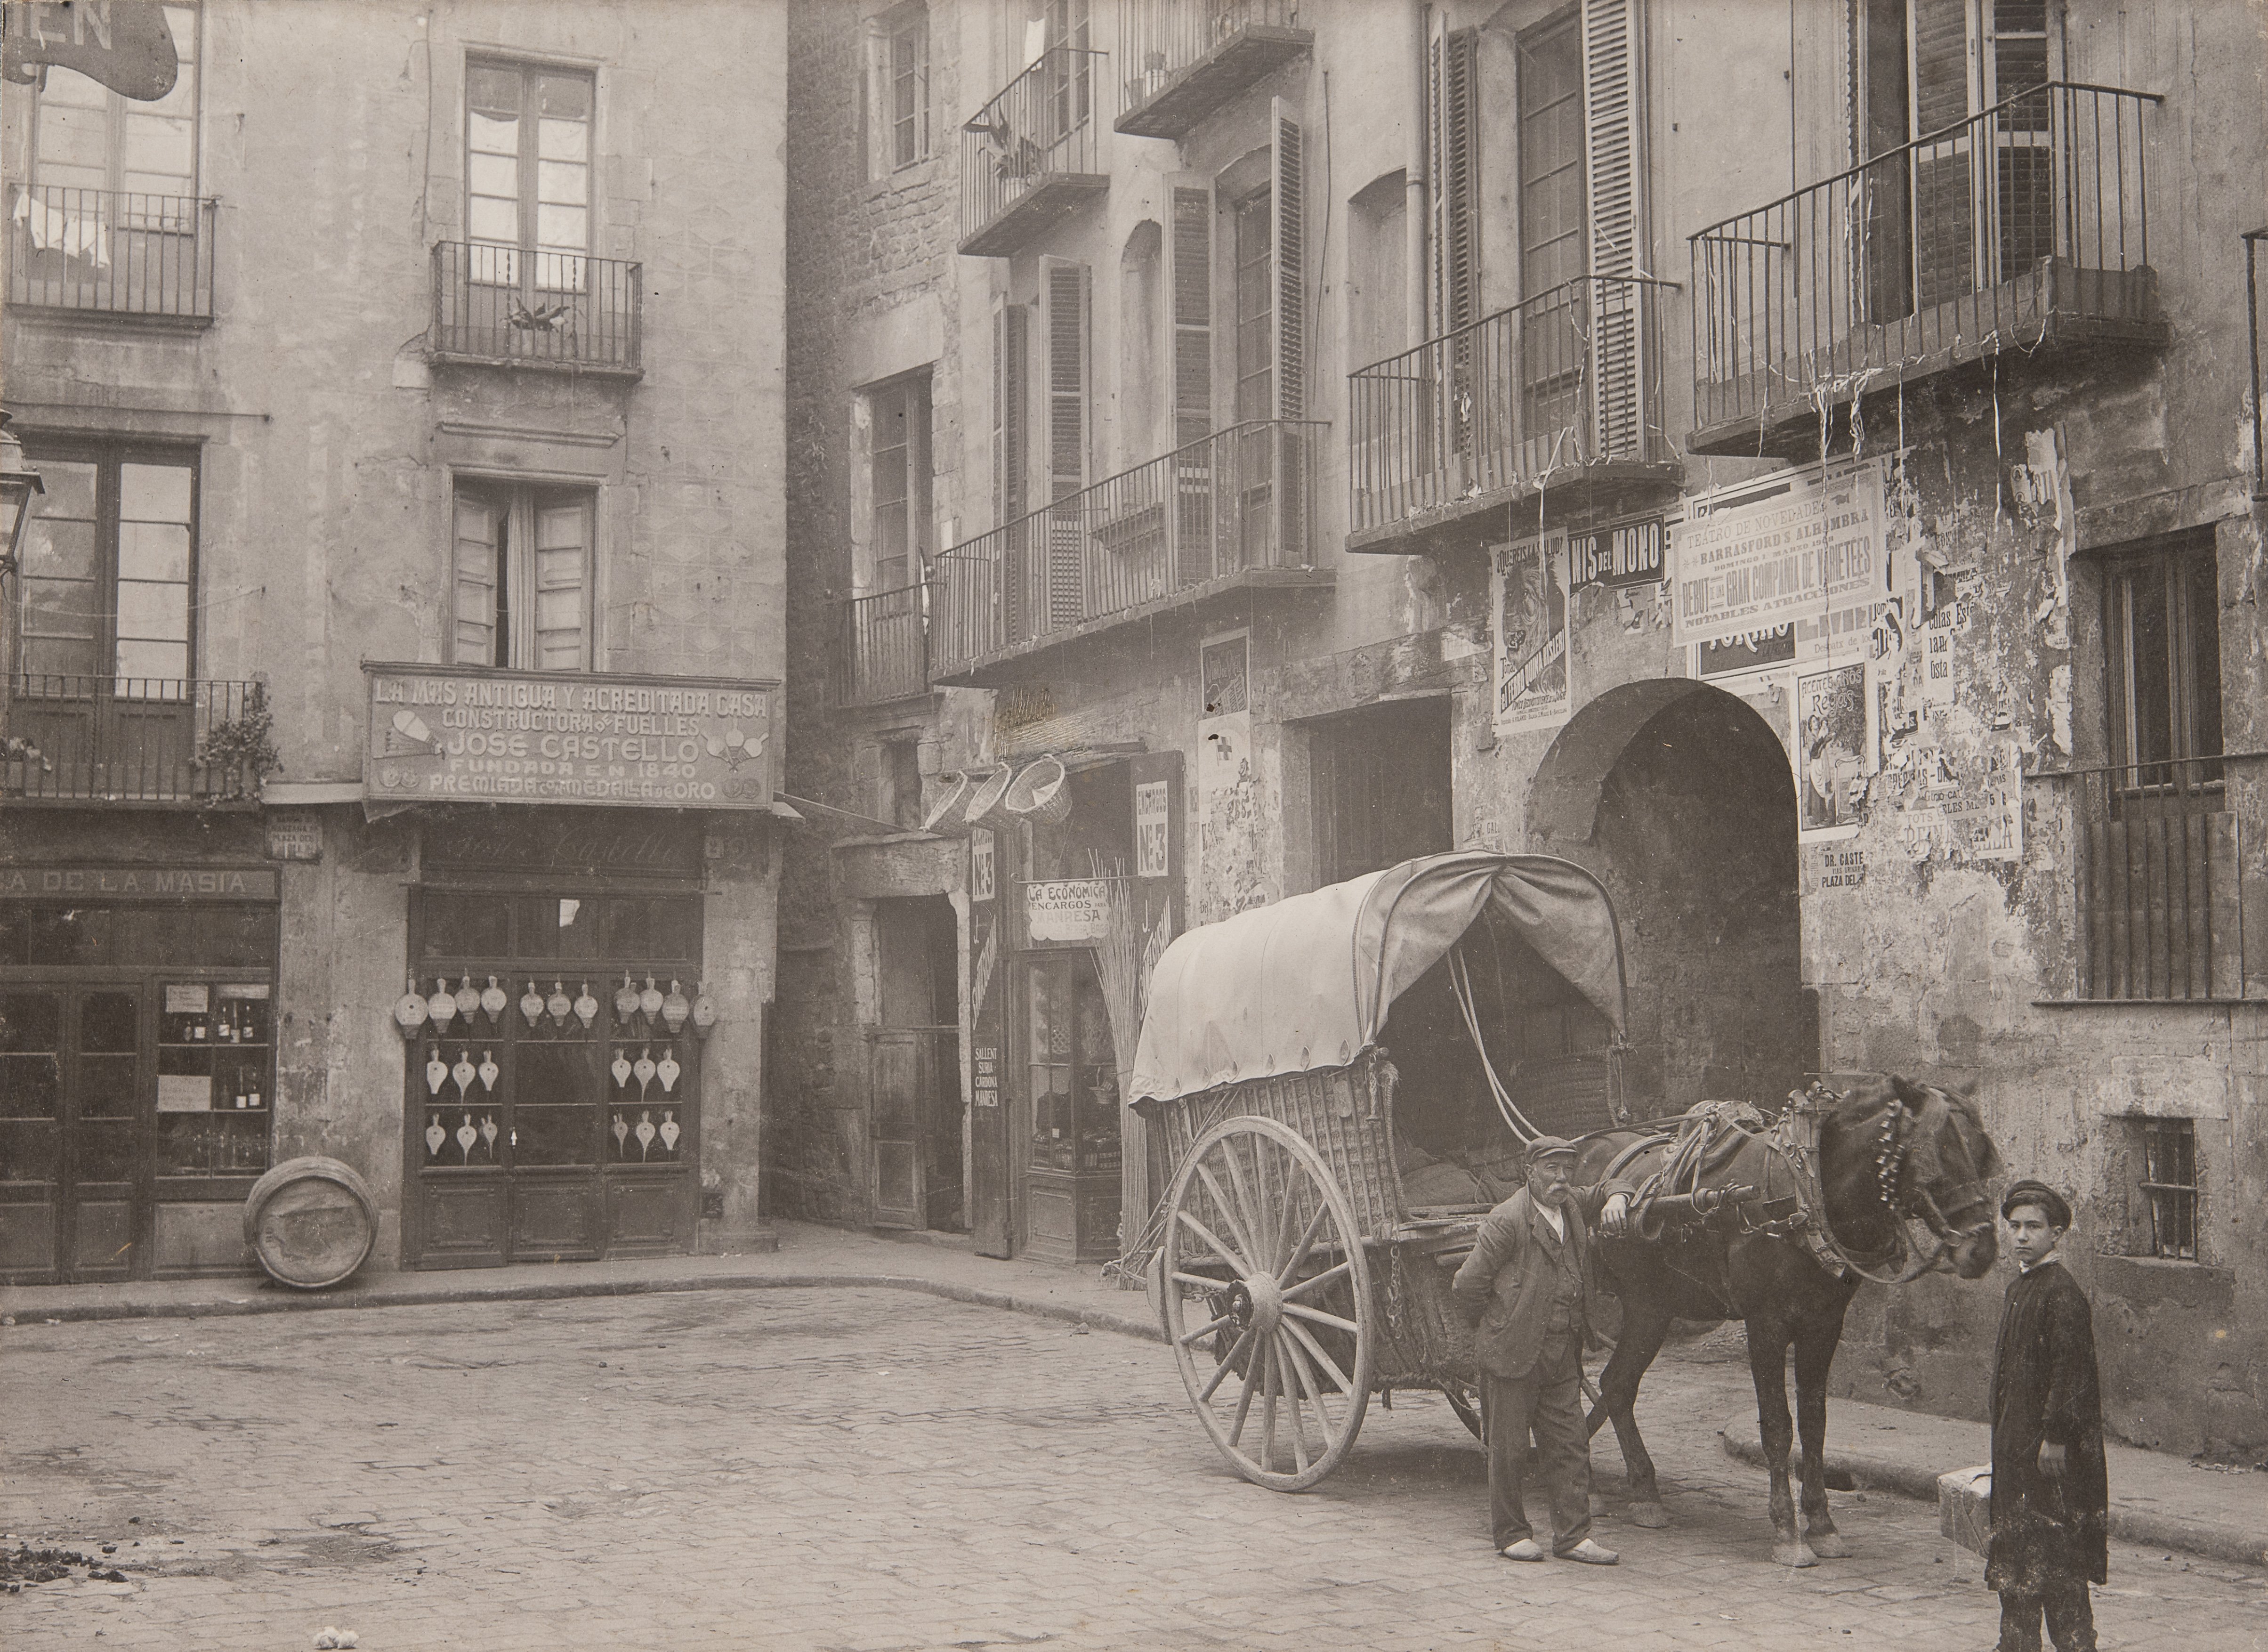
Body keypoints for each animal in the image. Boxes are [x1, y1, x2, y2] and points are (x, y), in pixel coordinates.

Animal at [1578, 1076, 2005, 1570]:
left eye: (1981, 1151)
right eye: (1938, 1151)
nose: (1982, 1249)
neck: (1803, 1194)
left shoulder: (1824, 1325)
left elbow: (1814, 1424)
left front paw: (1821, 1524)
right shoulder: (1765, 1325)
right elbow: (1778, 1427)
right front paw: (1786, 1531)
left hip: (1652, 1306)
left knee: (1615, 1385)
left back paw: (1635, 1489)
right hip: (1634, 1307)